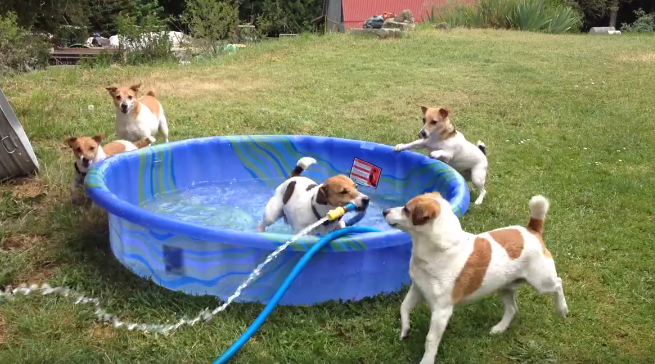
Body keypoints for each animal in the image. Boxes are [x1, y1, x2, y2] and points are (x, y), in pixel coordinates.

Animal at [382, 192, 568, 362]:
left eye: (407, 209)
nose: (384, 211)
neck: (440, 250)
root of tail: (532, 230)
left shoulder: (441, 312)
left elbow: (431, 339)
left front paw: (426, 360)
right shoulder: (418, 289)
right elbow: (404, 307)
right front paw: (405, 330)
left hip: (541, 282)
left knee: (558, 284)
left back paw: (562, 309)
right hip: (505, 287)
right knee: (512, 308)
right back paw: (500, 328)